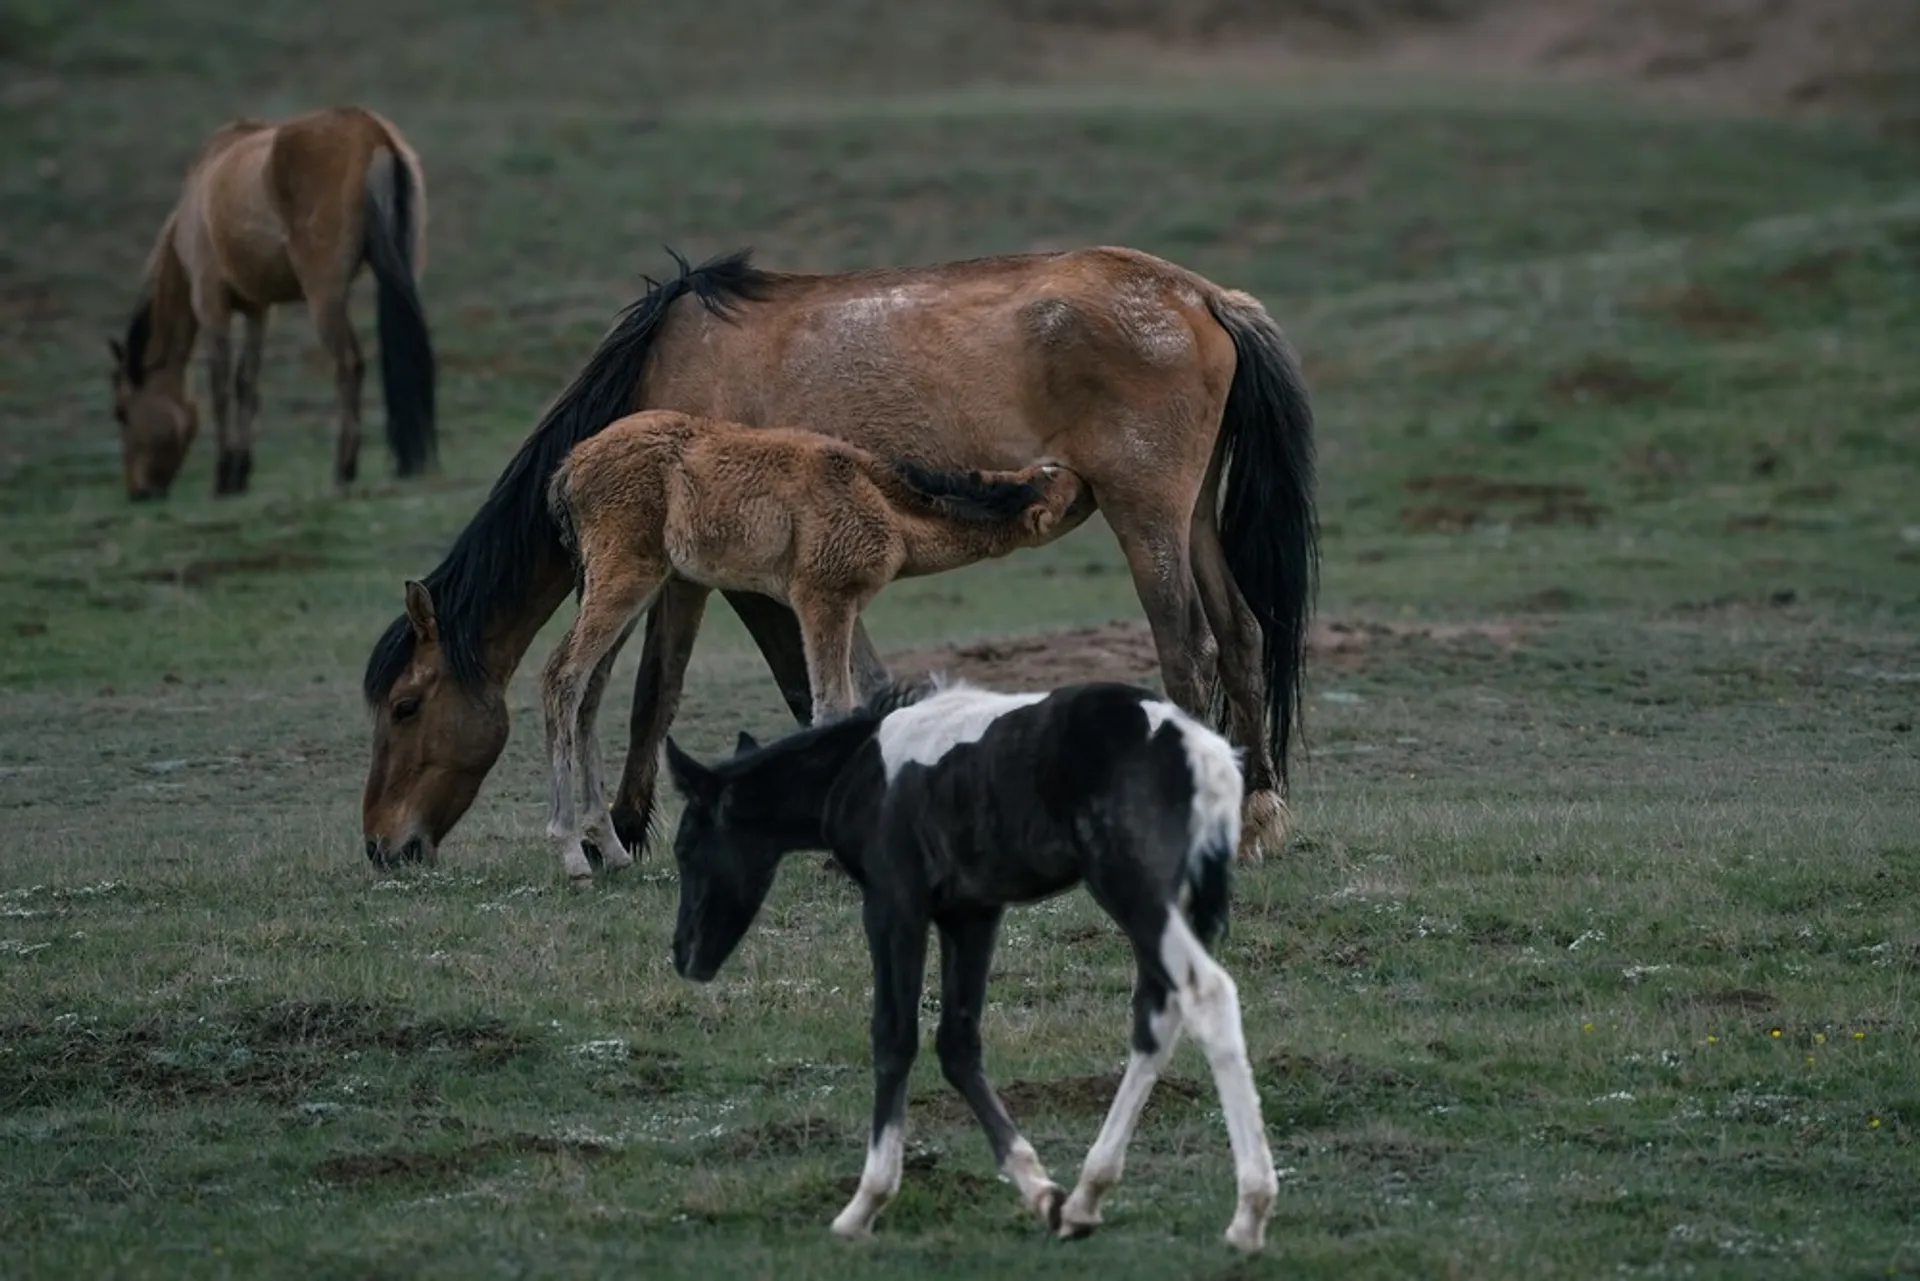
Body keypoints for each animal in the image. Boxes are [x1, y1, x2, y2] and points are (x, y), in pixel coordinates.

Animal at [109, 106, 436, 500]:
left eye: (122, 412)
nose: (137, 491)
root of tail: (373, 131)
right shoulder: (258, 310)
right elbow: (247, 382)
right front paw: (241, 472)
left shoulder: (210, 303)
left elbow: (221, 385)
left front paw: (224, 475)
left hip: (324, 298)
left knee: (348, 364)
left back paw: (344, 468)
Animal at [532, 408, 1091, 881]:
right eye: (1066, 489)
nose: (1090, 481)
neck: (880, 501)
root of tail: (568, 469)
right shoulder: (822, 599)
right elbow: (832, 707)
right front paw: (838, 860)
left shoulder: (847, 606)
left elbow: (869, 700)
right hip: (626, 574)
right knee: (563, 674)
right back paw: (570, 852)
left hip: (629, 585)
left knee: (592, 685)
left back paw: (610, 848)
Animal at [662, 677, 1280, 1251]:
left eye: (686, 845)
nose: (683, 953)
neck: (861, 769)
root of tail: (1203, 752)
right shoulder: (972, 913)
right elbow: (958, 1044)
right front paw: (1041, 1192)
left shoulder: (894, 904)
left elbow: (894, 1037)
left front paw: (864, 1205)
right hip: (1179, 903)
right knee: (1156, 1017)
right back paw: (1085, 1198)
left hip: (1135, 891)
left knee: (1206, 995)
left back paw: (1248, 1213)